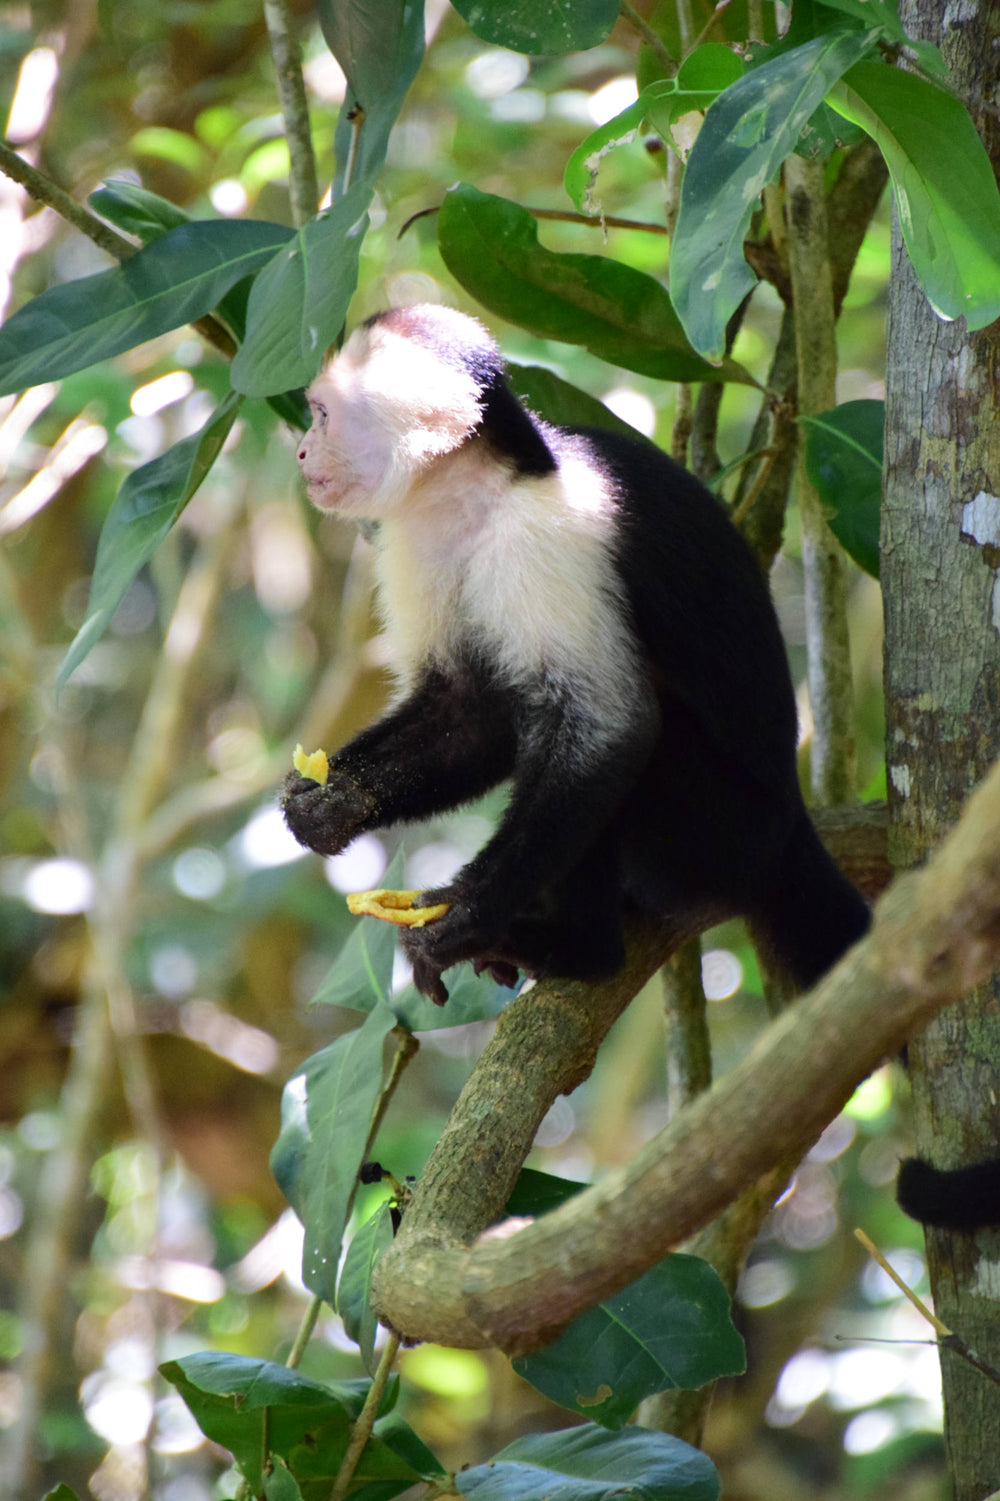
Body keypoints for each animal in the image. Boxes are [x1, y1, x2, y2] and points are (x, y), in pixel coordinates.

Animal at [282, 303, 871, 1009]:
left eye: (321, 414)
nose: (300, 449)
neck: (479, 491)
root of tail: (790, 827)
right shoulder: (413, 540)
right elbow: (467, 712)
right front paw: (334, 801)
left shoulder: (548, 537)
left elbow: (603, 728)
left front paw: (468, 910)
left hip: (724, 840)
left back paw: (582, 949)